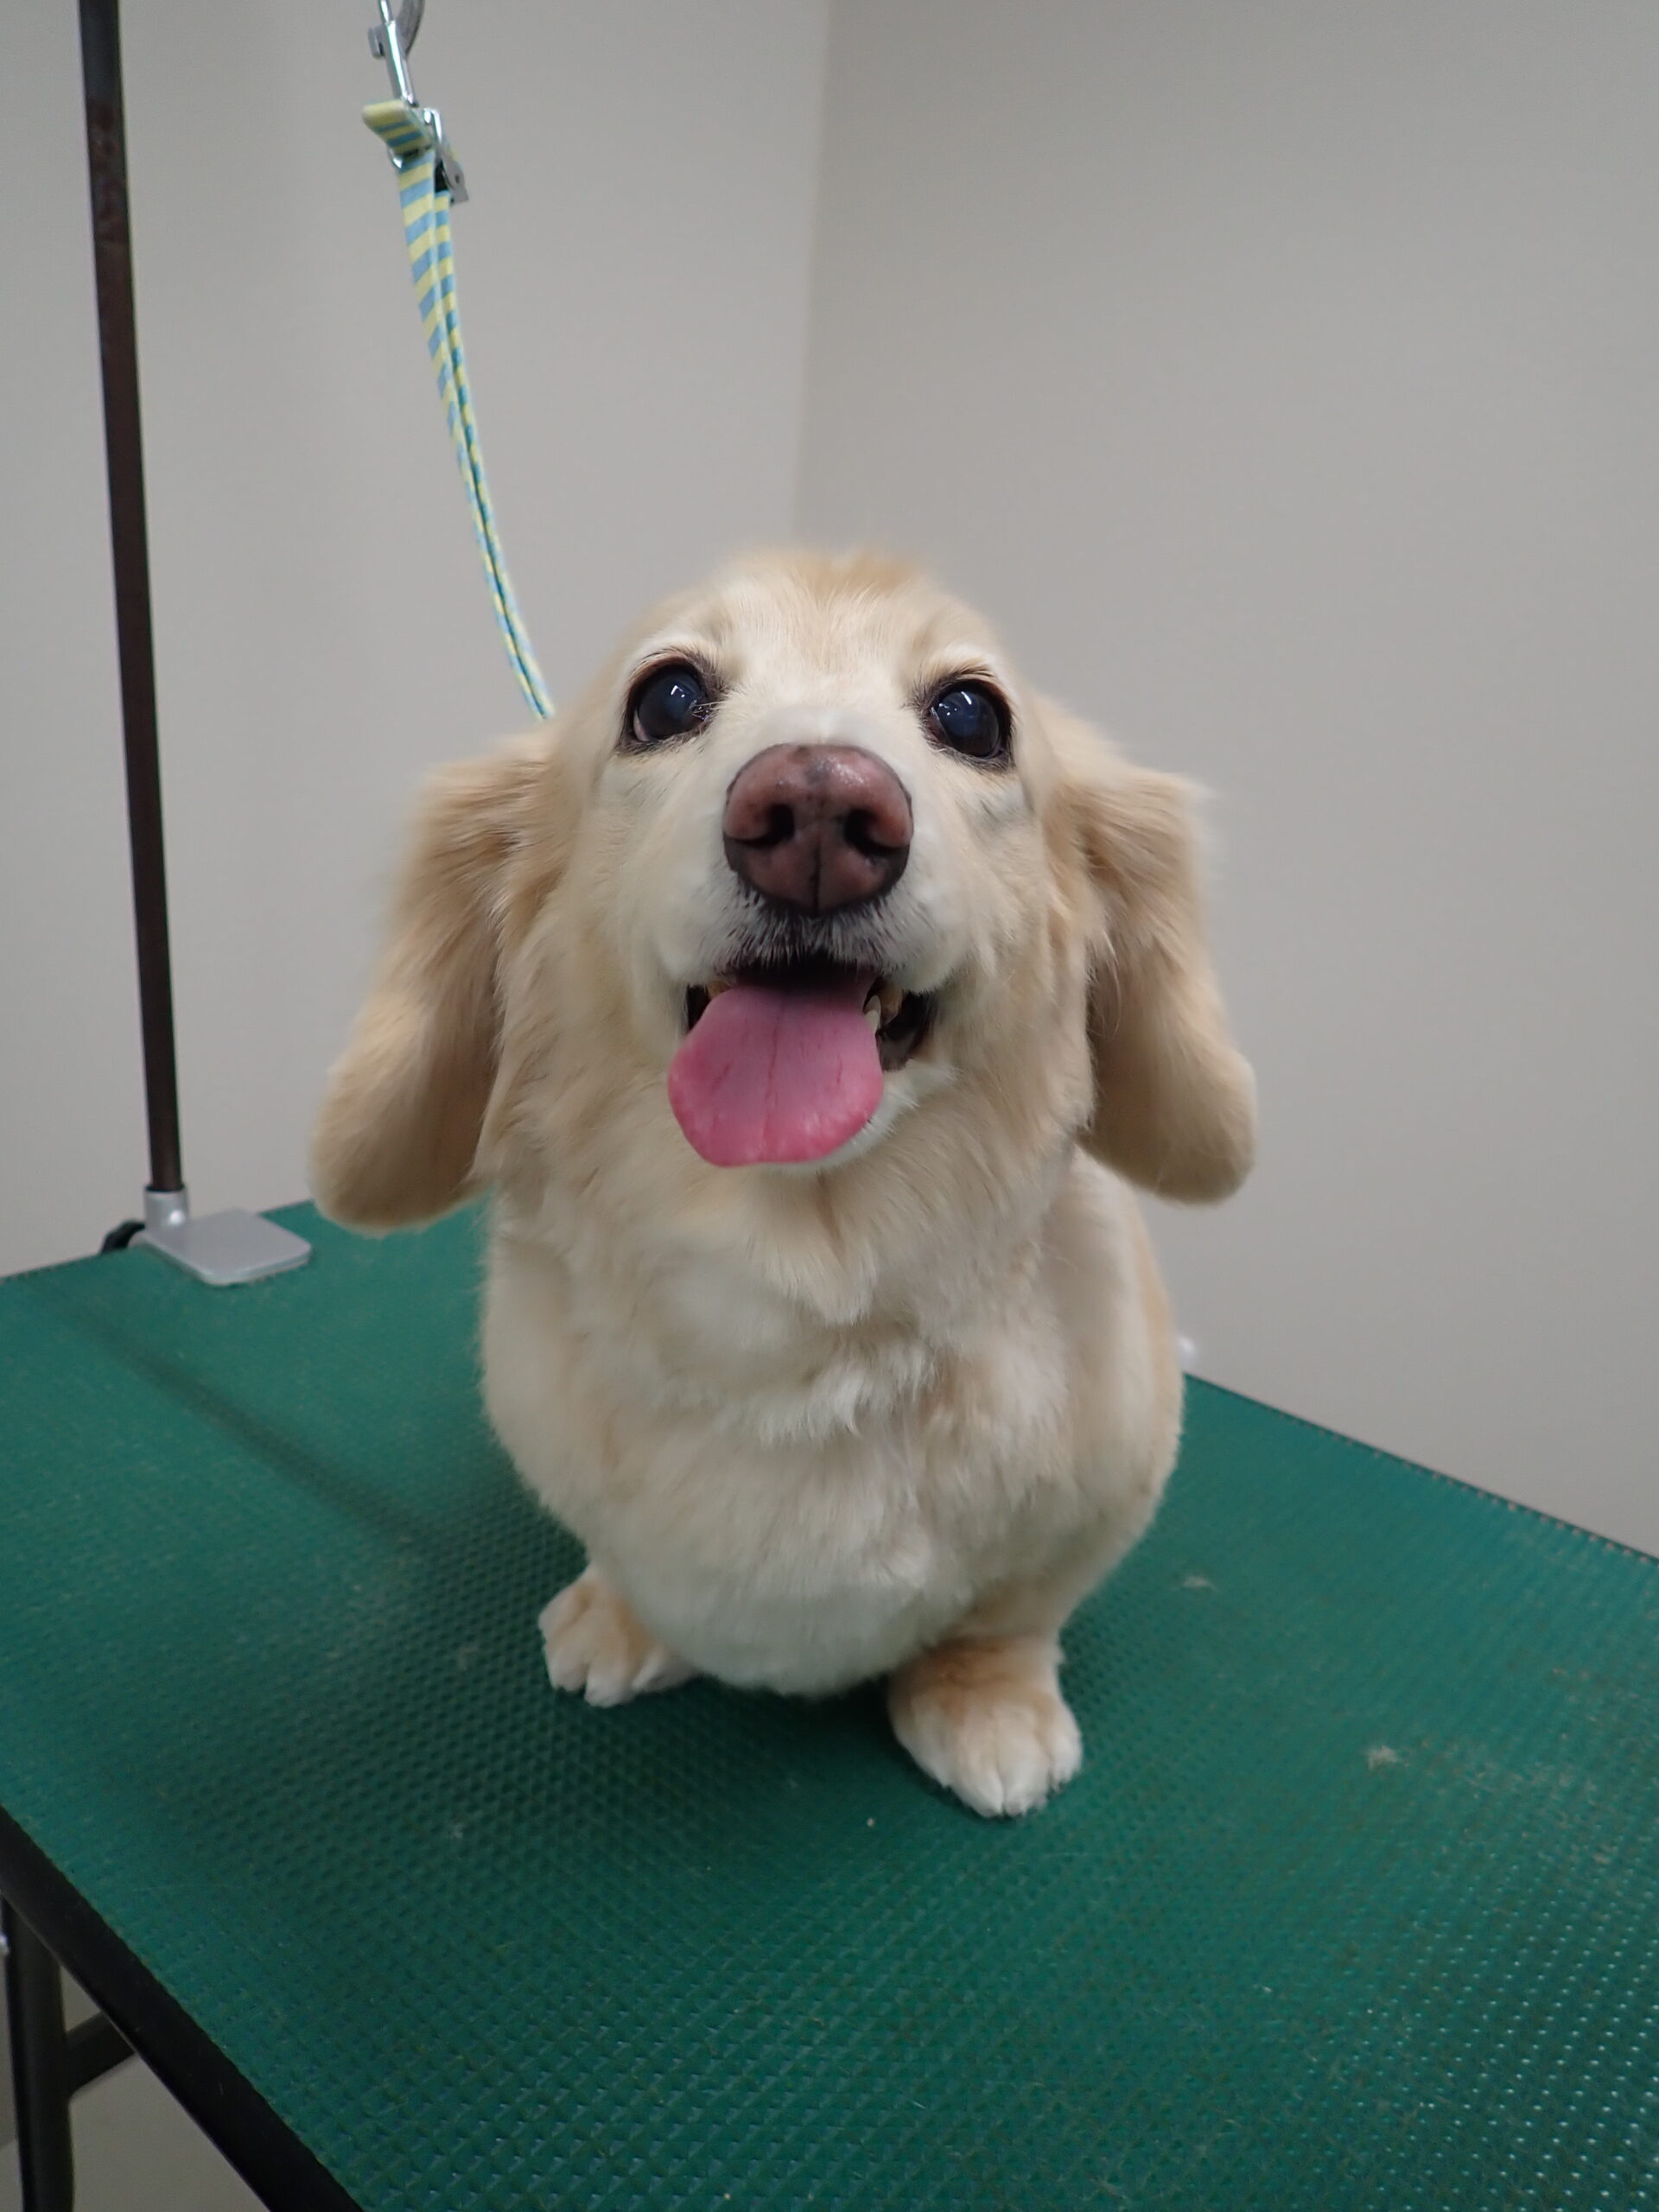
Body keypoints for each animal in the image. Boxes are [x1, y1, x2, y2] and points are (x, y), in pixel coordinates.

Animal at [311, 549, 1254, 1816]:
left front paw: (988, 1702)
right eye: (666, 698)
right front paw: (622, 1617)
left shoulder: (1093, 1503)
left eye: (973, 715)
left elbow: (1008, 1616)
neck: (801, 1286)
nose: (817, 809)